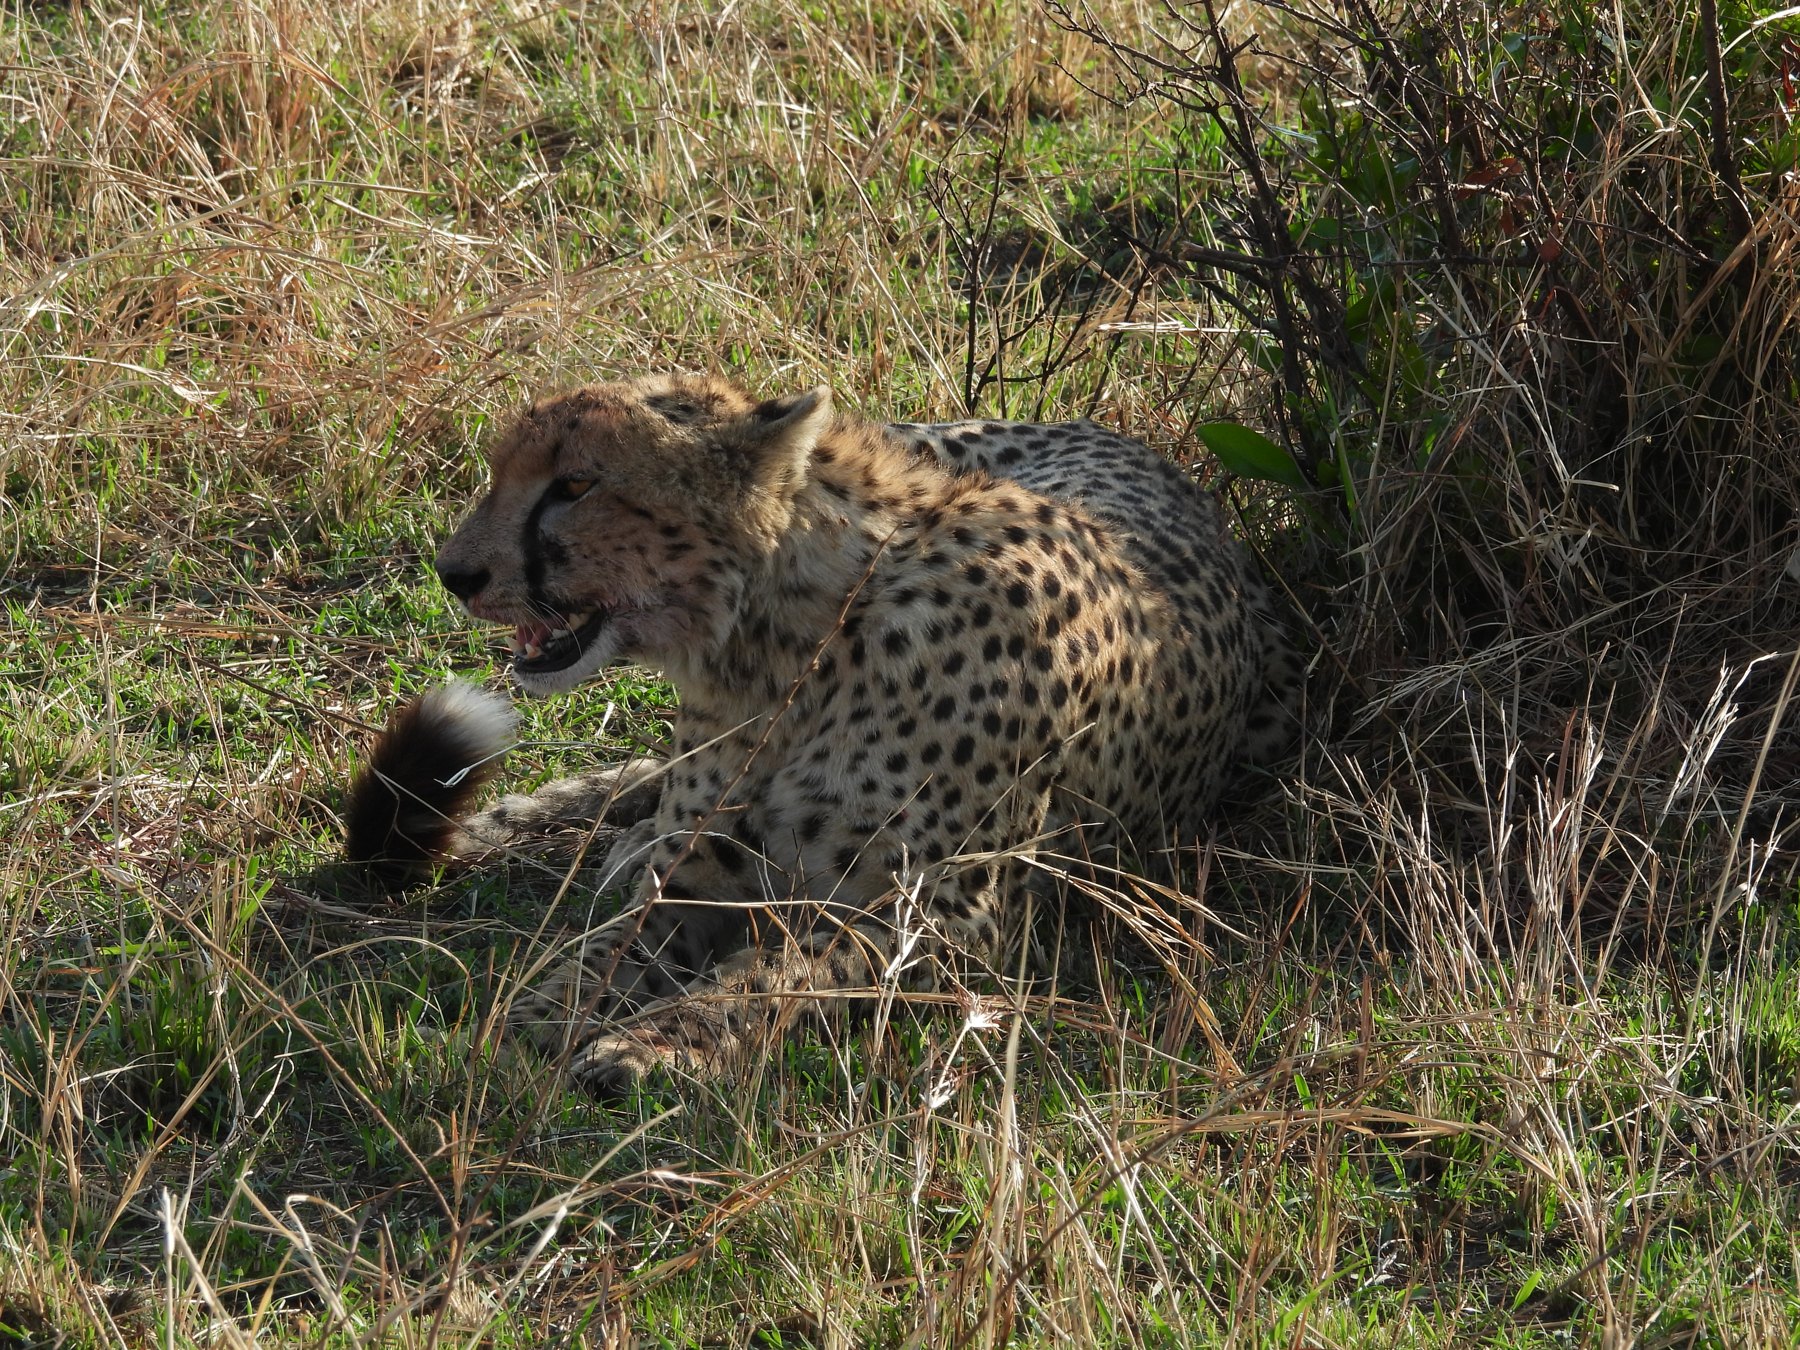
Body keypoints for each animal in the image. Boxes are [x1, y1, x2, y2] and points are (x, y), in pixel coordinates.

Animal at [345, 372, 1300, 1092]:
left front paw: (655, 1042)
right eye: (500, 471)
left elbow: (783, 970)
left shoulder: (943, 917)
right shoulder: (696, 876)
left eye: (575, 485)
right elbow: (604, 950)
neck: (791, 642)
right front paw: (537, 1016)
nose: (454, 573)